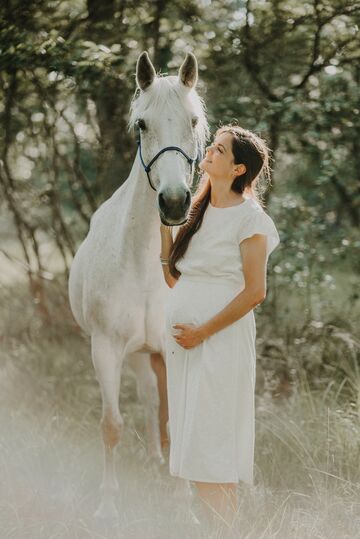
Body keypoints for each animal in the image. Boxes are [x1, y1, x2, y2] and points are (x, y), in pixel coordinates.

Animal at [68, 50, 208, 520]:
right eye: (141, 125)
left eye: (194, 121)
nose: (174, 203)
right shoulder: (107, 349)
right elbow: (111, 425)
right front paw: (108, 505)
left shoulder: (177, 346)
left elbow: (178, 420)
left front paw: (183, 505)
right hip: (134, 353)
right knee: (148, 396)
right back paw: (152, 458)